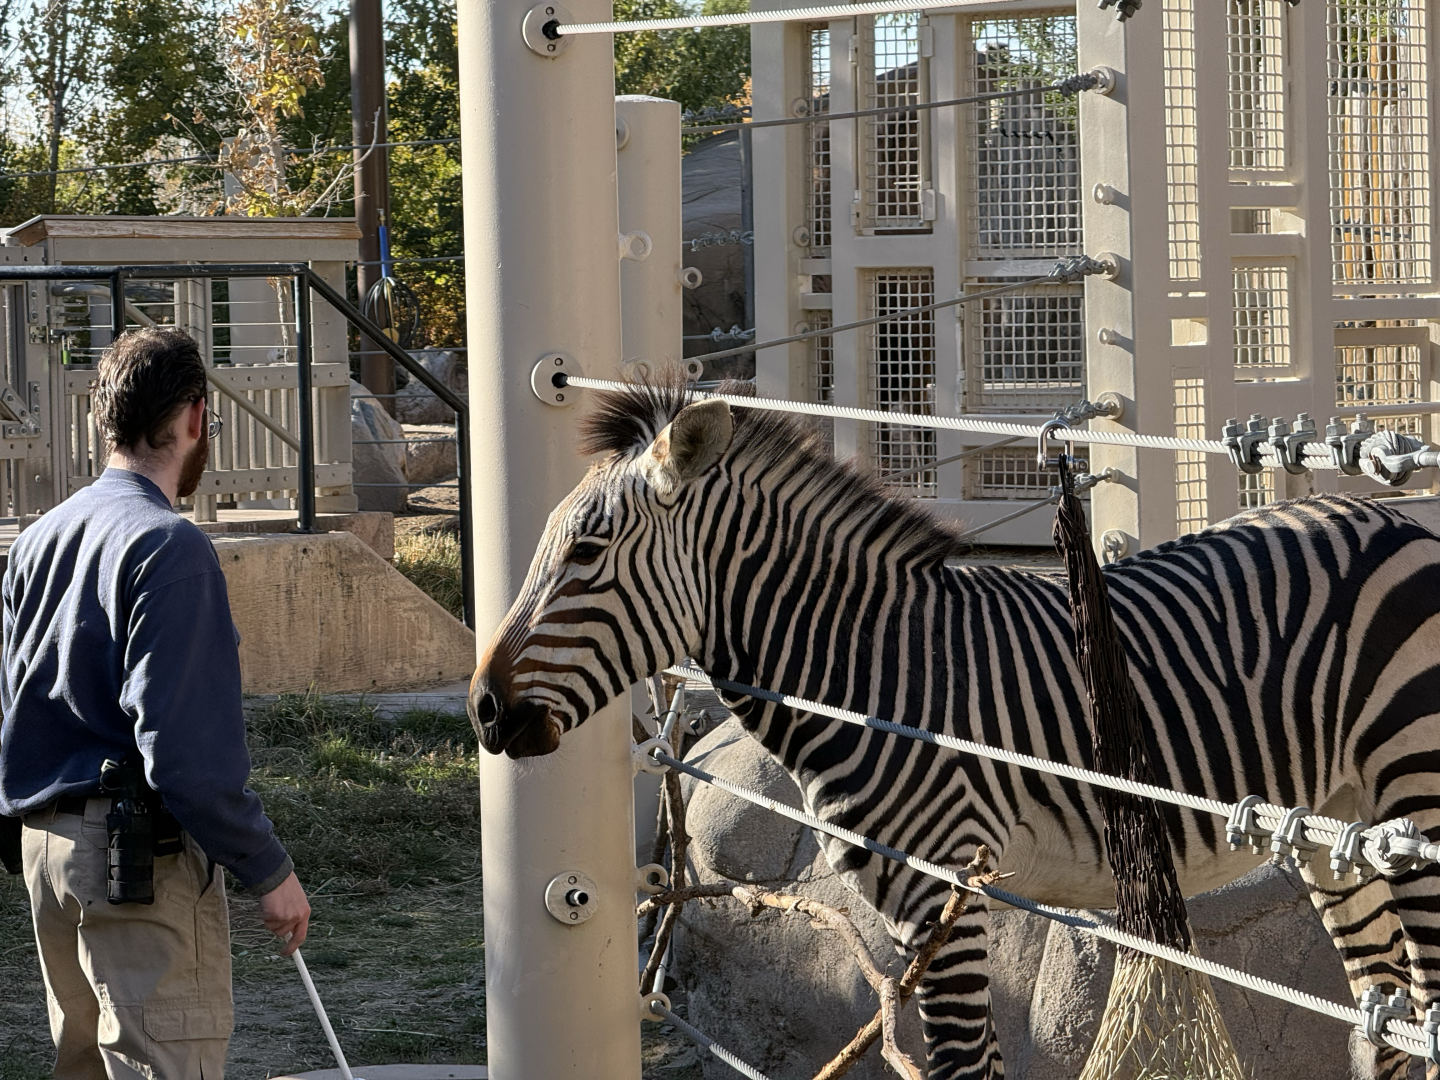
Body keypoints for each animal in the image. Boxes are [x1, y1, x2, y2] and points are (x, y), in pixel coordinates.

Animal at [468, 377, 1440, 1080]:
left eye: (586, 553)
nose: (481, 709)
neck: (866, 668)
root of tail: (1391, 517)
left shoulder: (943, 886)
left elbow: (964, 1067)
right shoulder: (911, 912)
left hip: (1417, 795)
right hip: (1335, 820)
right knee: (1382, 1022)